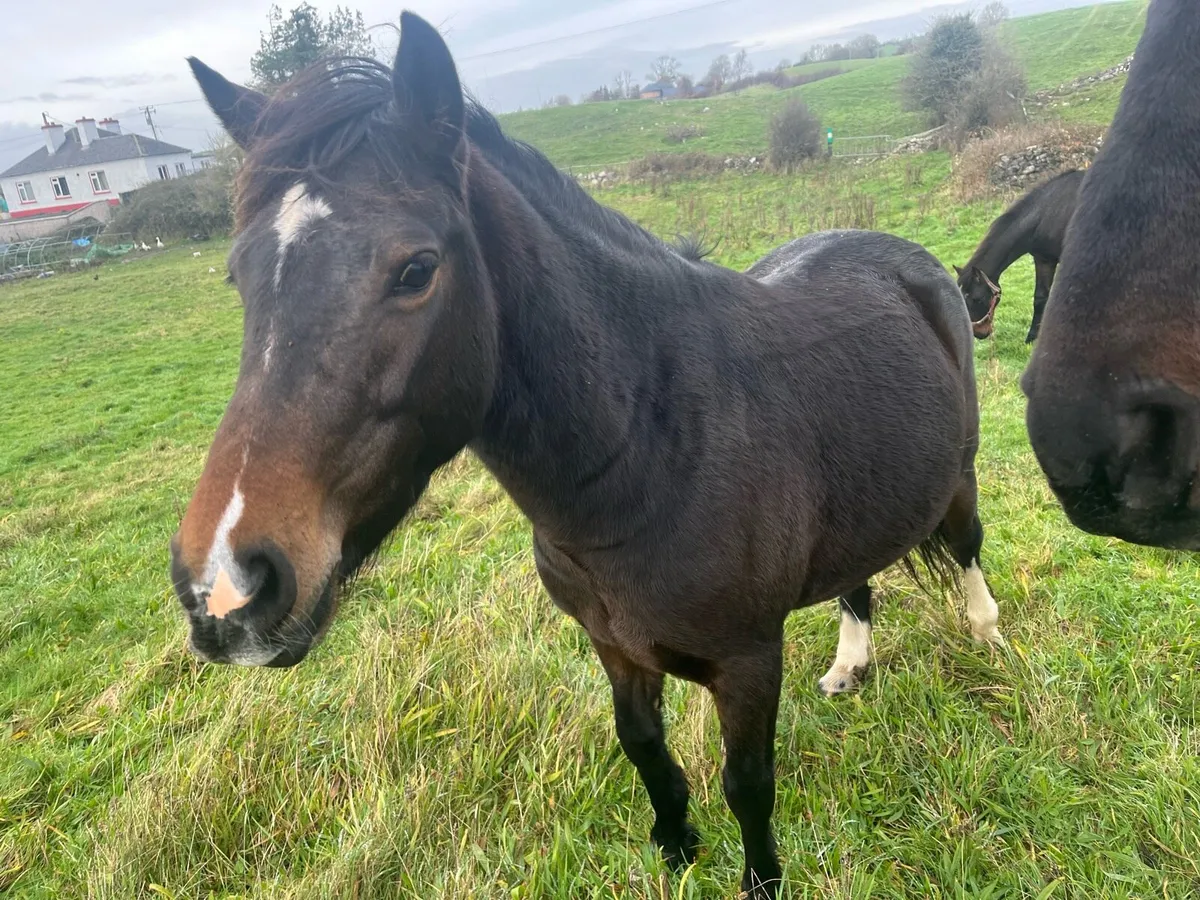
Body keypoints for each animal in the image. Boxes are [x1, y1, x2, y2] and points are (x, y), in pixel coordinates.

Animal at [172, 13, 1003, 897]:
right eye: (239, 276)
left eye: (416, 269)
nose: (225, 587)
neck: (652, 458)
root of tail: (913, 261)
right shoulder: (614, 645)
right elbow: (643, 748)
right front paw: (675, 844)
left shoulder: (748, 662)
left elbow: (749, 786)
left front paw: (758, 877)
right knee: (858, 580)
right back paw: (850, 667)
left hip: (958, 474)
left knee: (966, 546)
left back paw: (988, 637)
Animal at [955, 168, 1084, 343]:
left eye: (977, 299)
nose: (979, 333)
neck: (1048, 213)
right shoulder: (1043, 260)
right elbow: (1040, 298)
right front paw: (1032, 336)